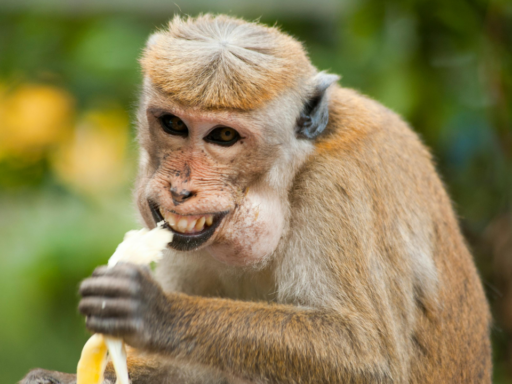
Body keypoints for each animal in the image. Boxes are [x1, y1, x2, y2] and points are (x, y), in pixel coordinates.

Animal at [21, 13, 492, 382]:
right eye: (173, 124)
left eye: (224, 136)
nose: (180, 189)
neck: (291, 174)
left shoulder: (337, 190)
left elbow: (368, 357)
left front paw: (155, 312)